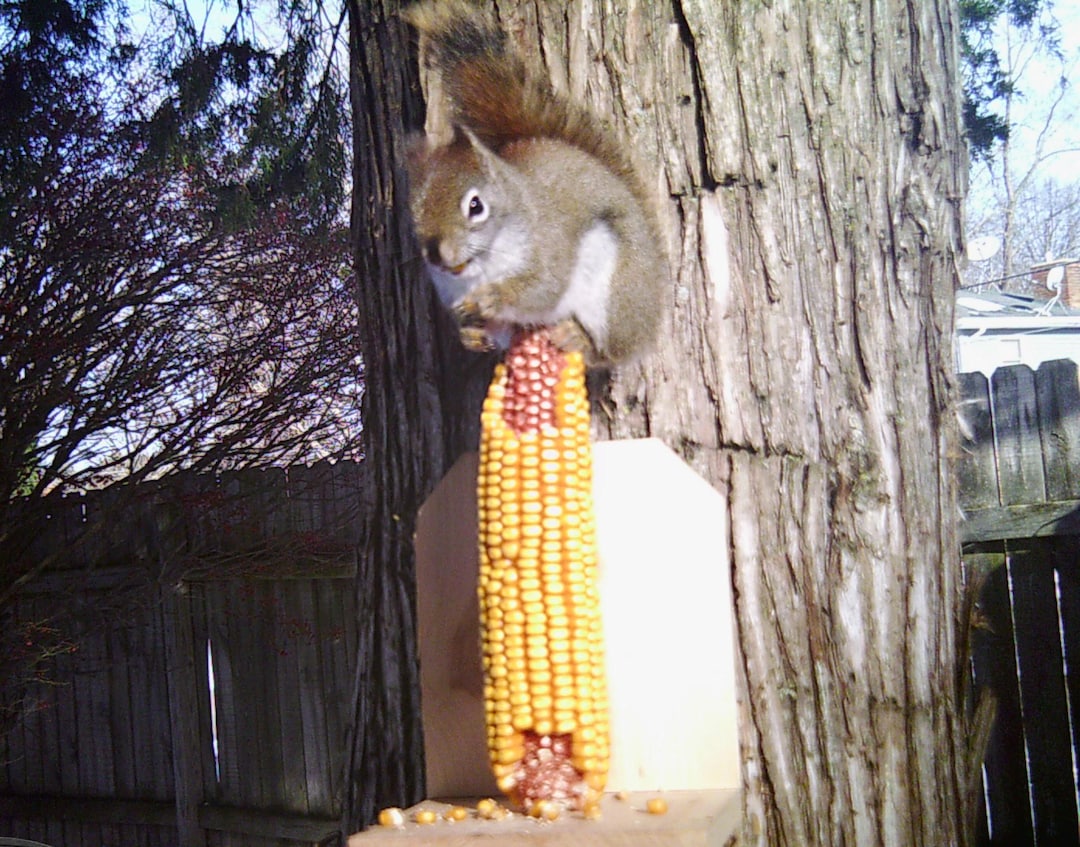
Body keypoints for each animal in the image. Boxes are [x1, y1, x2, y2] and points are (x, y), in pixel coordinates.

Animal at [402, 0, 668, 368]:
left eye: (475, 206)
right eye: (414, 212)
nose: (440, 256)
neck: (483, 266)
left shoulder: (550, 243)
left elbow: (543, 286)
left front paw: (495, 297)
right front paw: (468, 332)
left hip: (615, 298)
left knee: (609, 352)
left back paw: (580, 339)